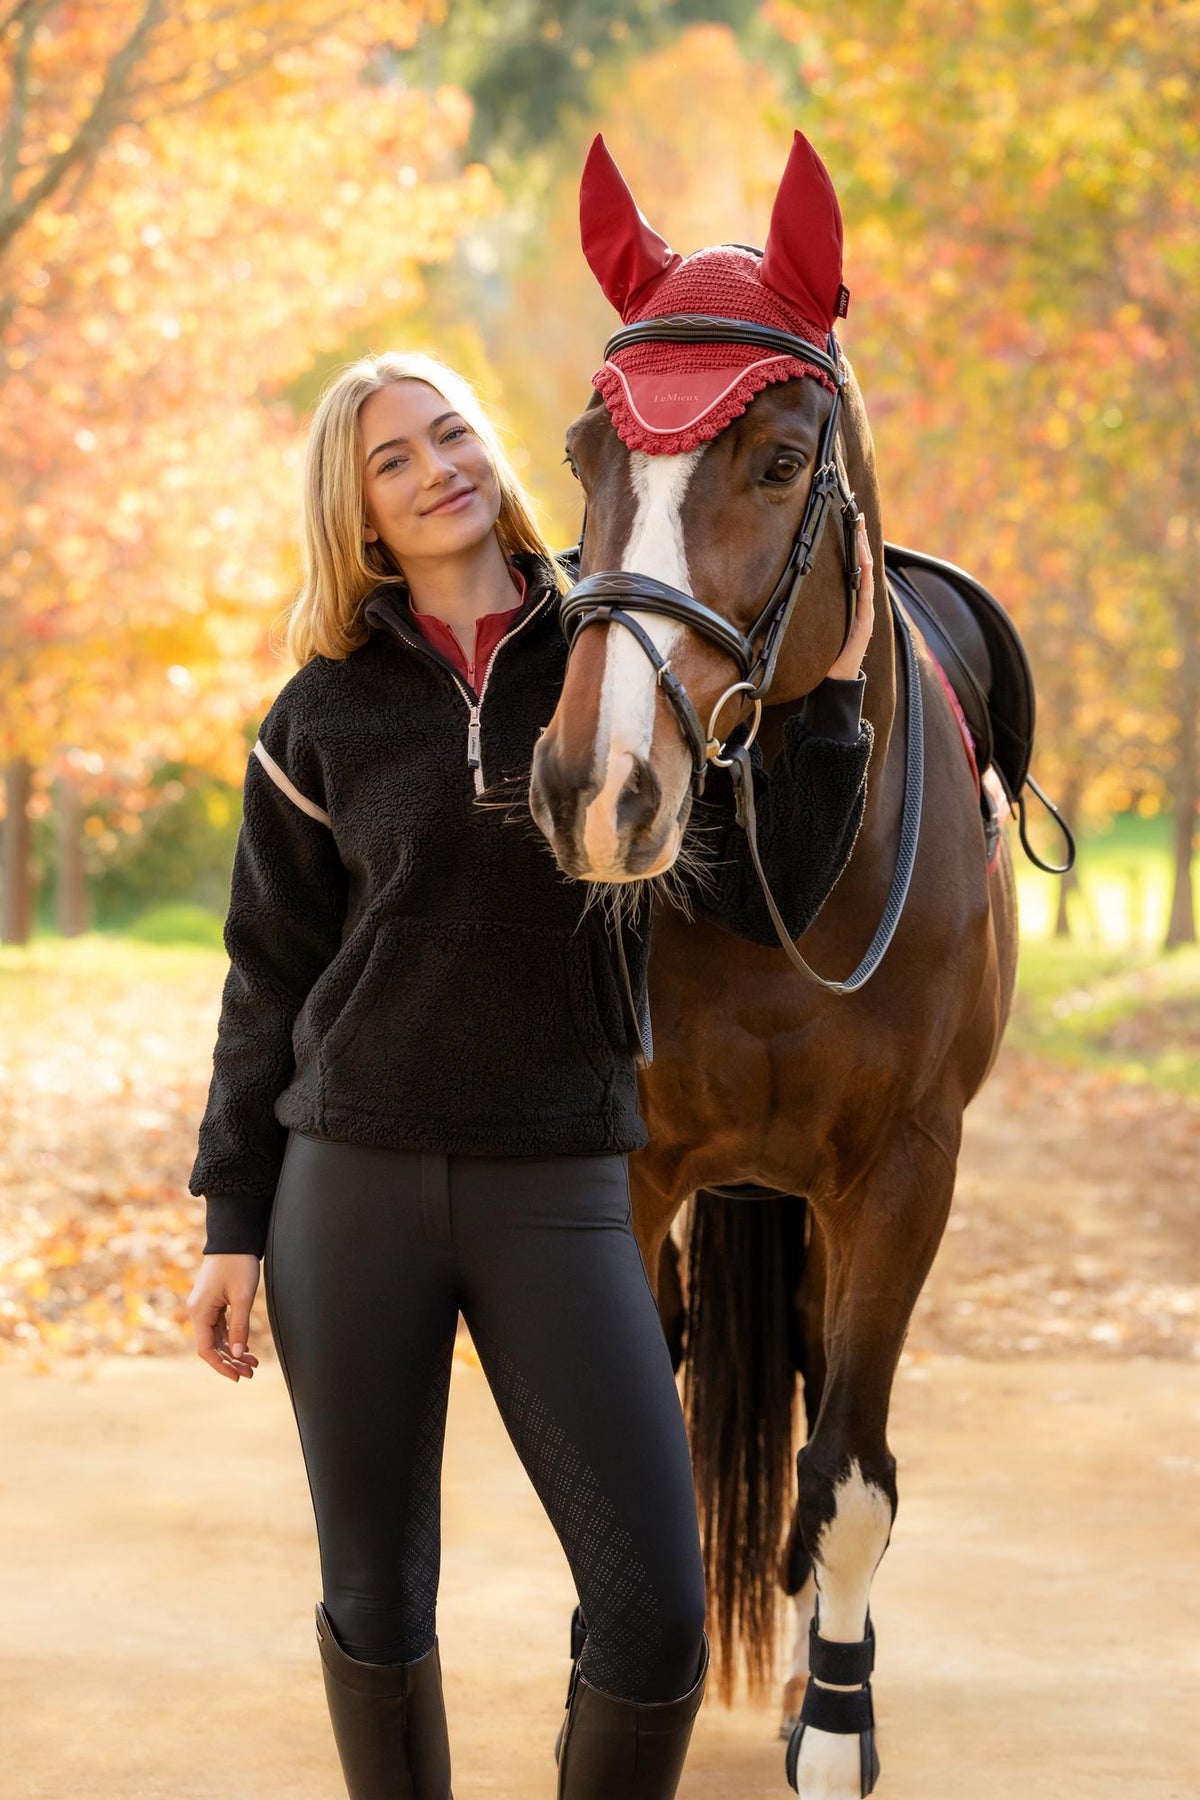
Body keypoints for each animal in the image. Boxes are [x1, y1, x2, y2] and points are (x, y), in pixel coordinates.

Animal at [528, 132, 1020, 1800]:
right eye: (583, 455)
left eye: (784, 461)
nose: (596, 786)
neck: (785, 860)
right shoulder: (631, 1169)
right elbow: (632, 1453)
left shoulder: (904, 1173)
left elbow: (850, 1477)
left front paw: (835, 1720)